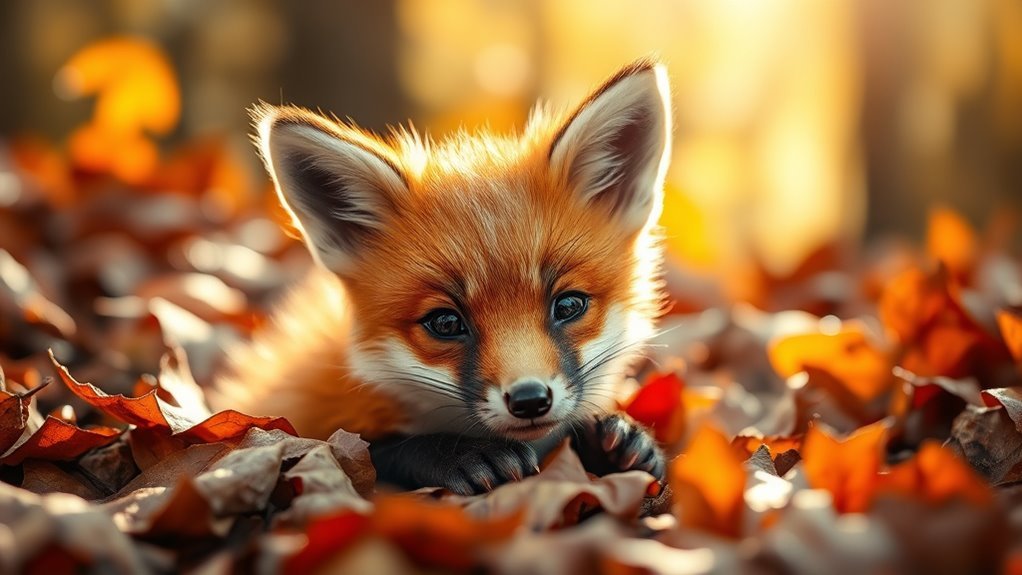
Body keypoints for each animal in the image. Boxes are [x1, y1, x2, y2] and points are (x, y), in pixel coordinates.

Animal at [211, 59, 672, 495]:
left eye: (569, 305)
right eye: (446, 323)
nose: (530, 400)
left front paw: (621, 438)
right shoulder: (303, 417)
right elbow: (378, 448)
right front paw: (458, 454)